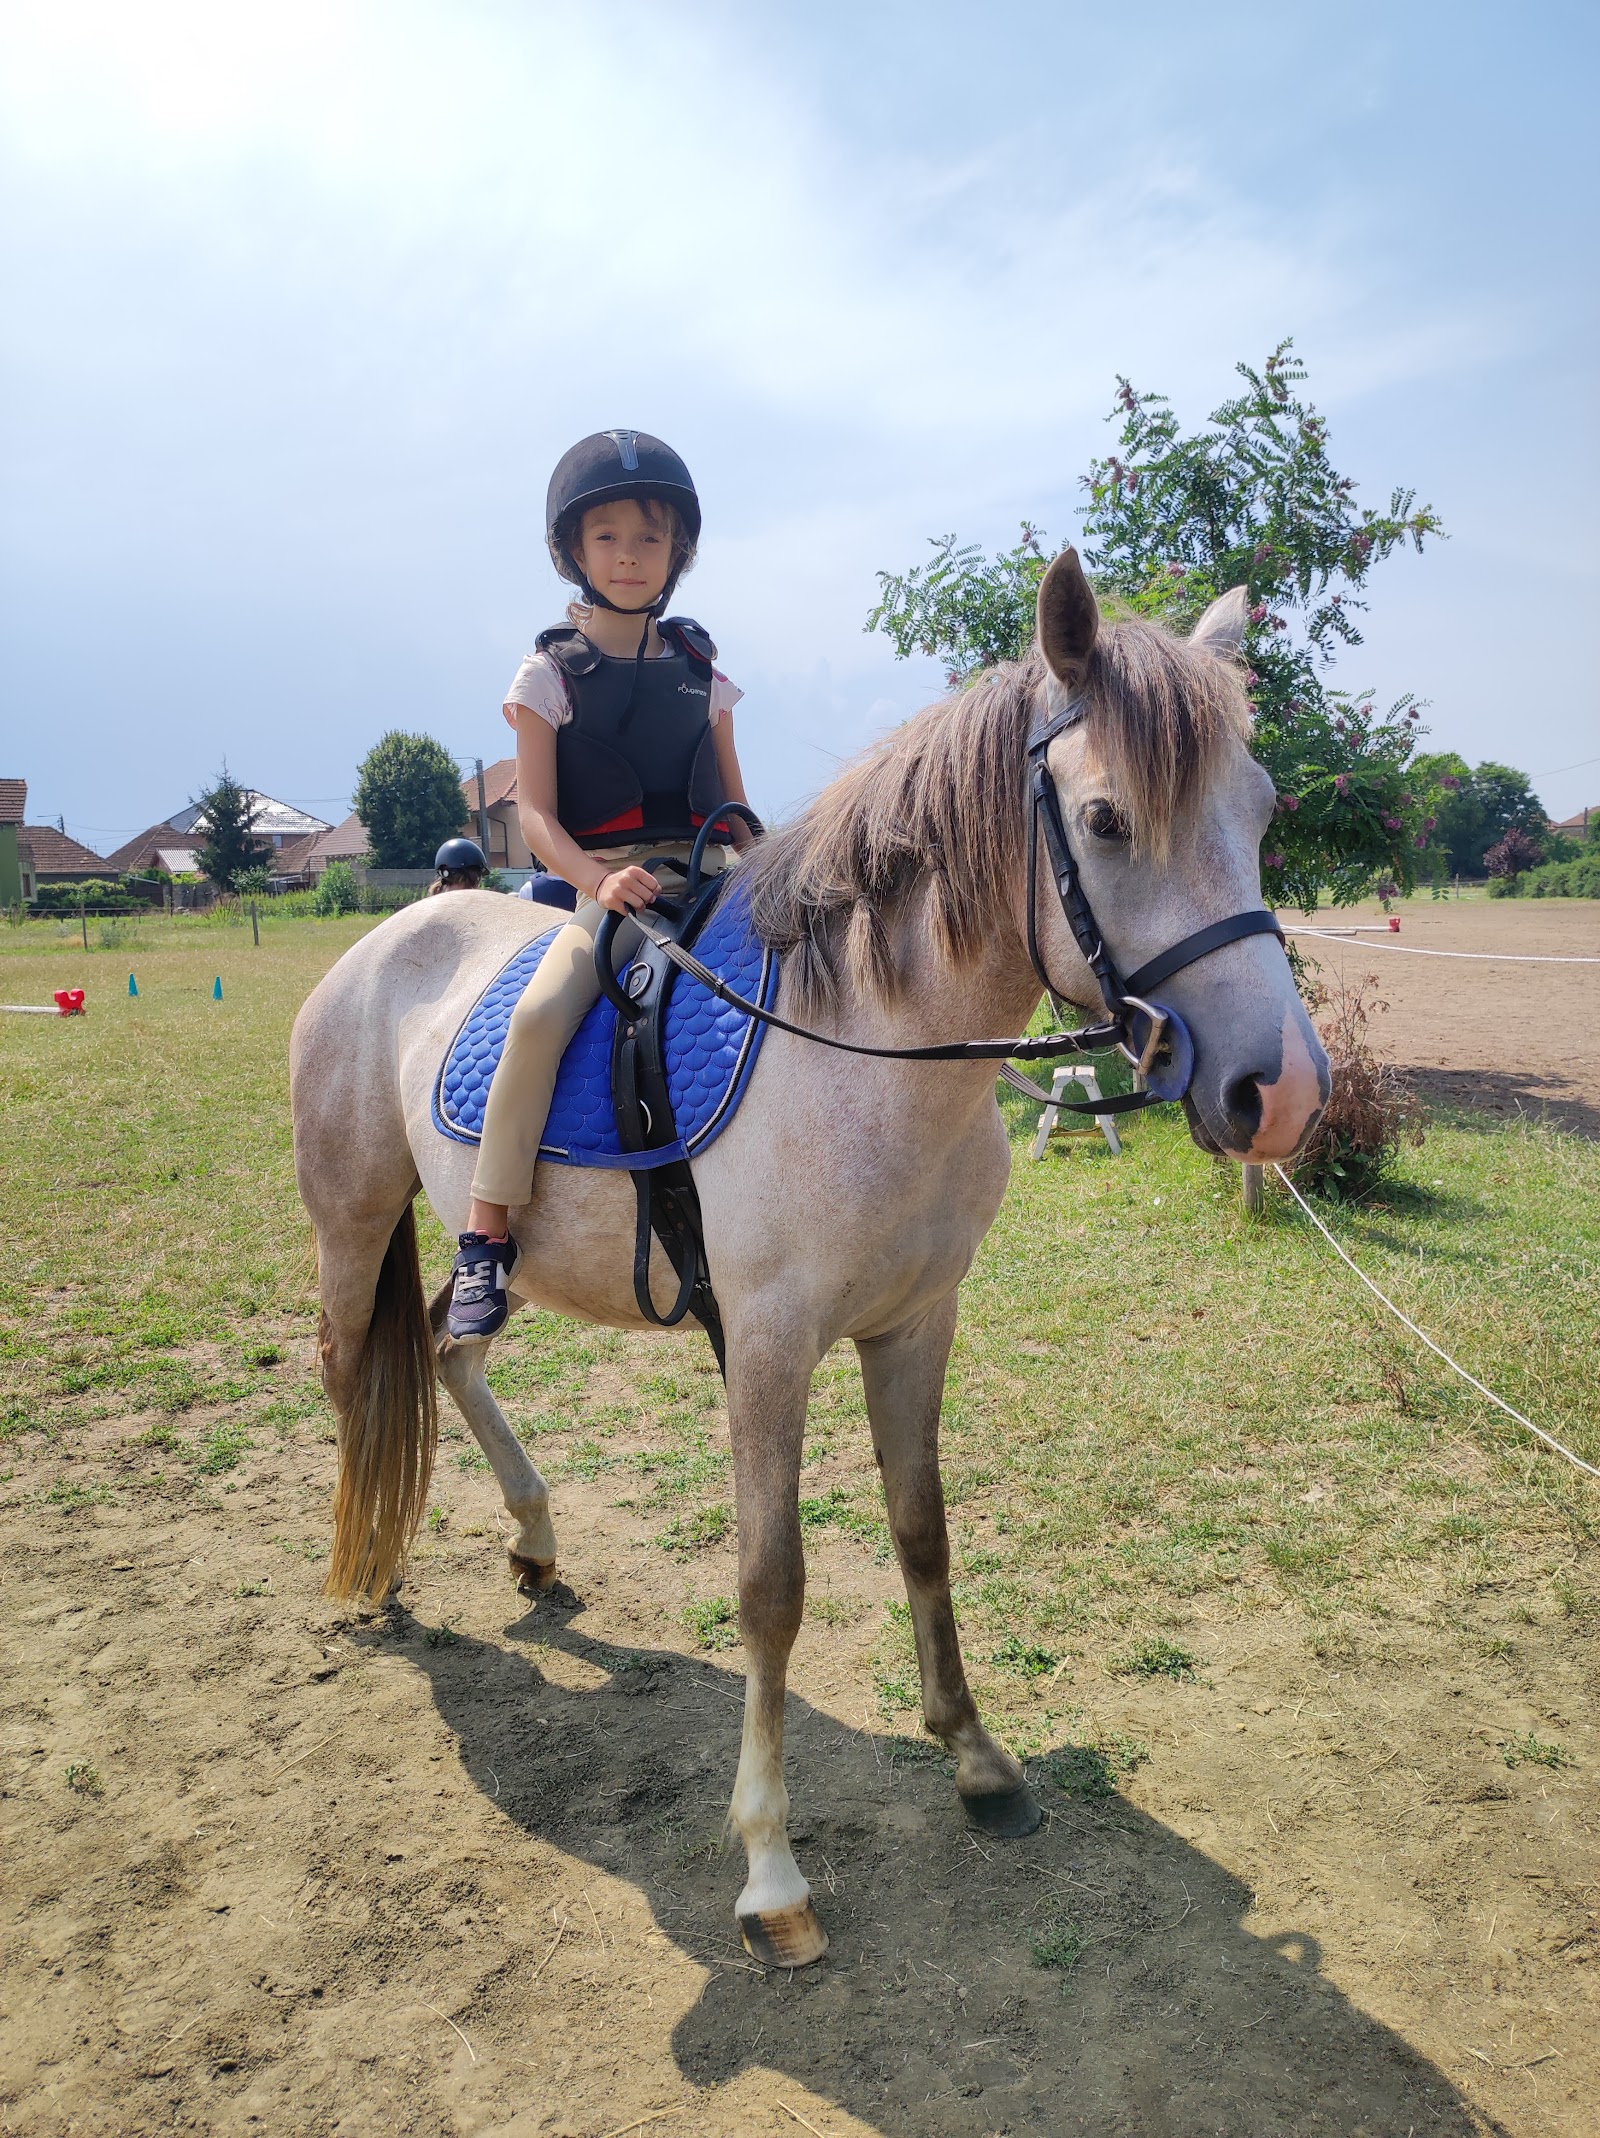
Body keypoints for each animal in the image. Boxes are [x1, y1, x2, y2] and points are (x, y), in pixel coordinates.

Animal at [290, 549, 1330, 1969]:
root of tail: (383, 940)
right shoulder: (771, 1342)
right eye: (1109, 820)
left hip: (480, 1247)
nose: (1278, 1094)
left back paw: (535, 1543)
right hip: (351, 1221)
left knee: (451, 1342)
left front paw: (977, 1759)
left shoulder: (918, 1322)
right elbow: (769, 1585)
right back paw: (372, 1568)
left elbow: (921, 1529)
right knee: (357, 1376)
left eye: (1263, 808)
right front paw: (771, 1870)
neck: (861, 1046)